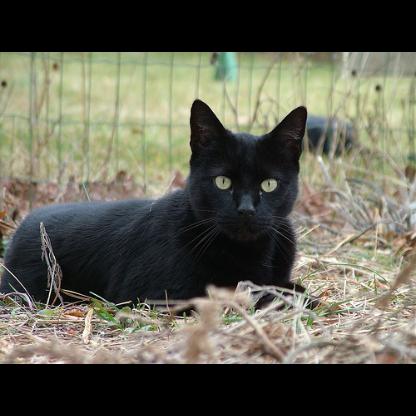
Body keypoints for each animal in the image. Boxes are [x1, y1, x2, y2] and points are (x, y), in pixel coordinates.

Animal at [0, 99, 318, 310]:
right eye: (222, 182)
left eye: (269, 184)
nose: (246, 210)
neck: (250, 251)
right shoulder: (159, 292)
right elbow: (237, 293)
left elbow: (289, 286)